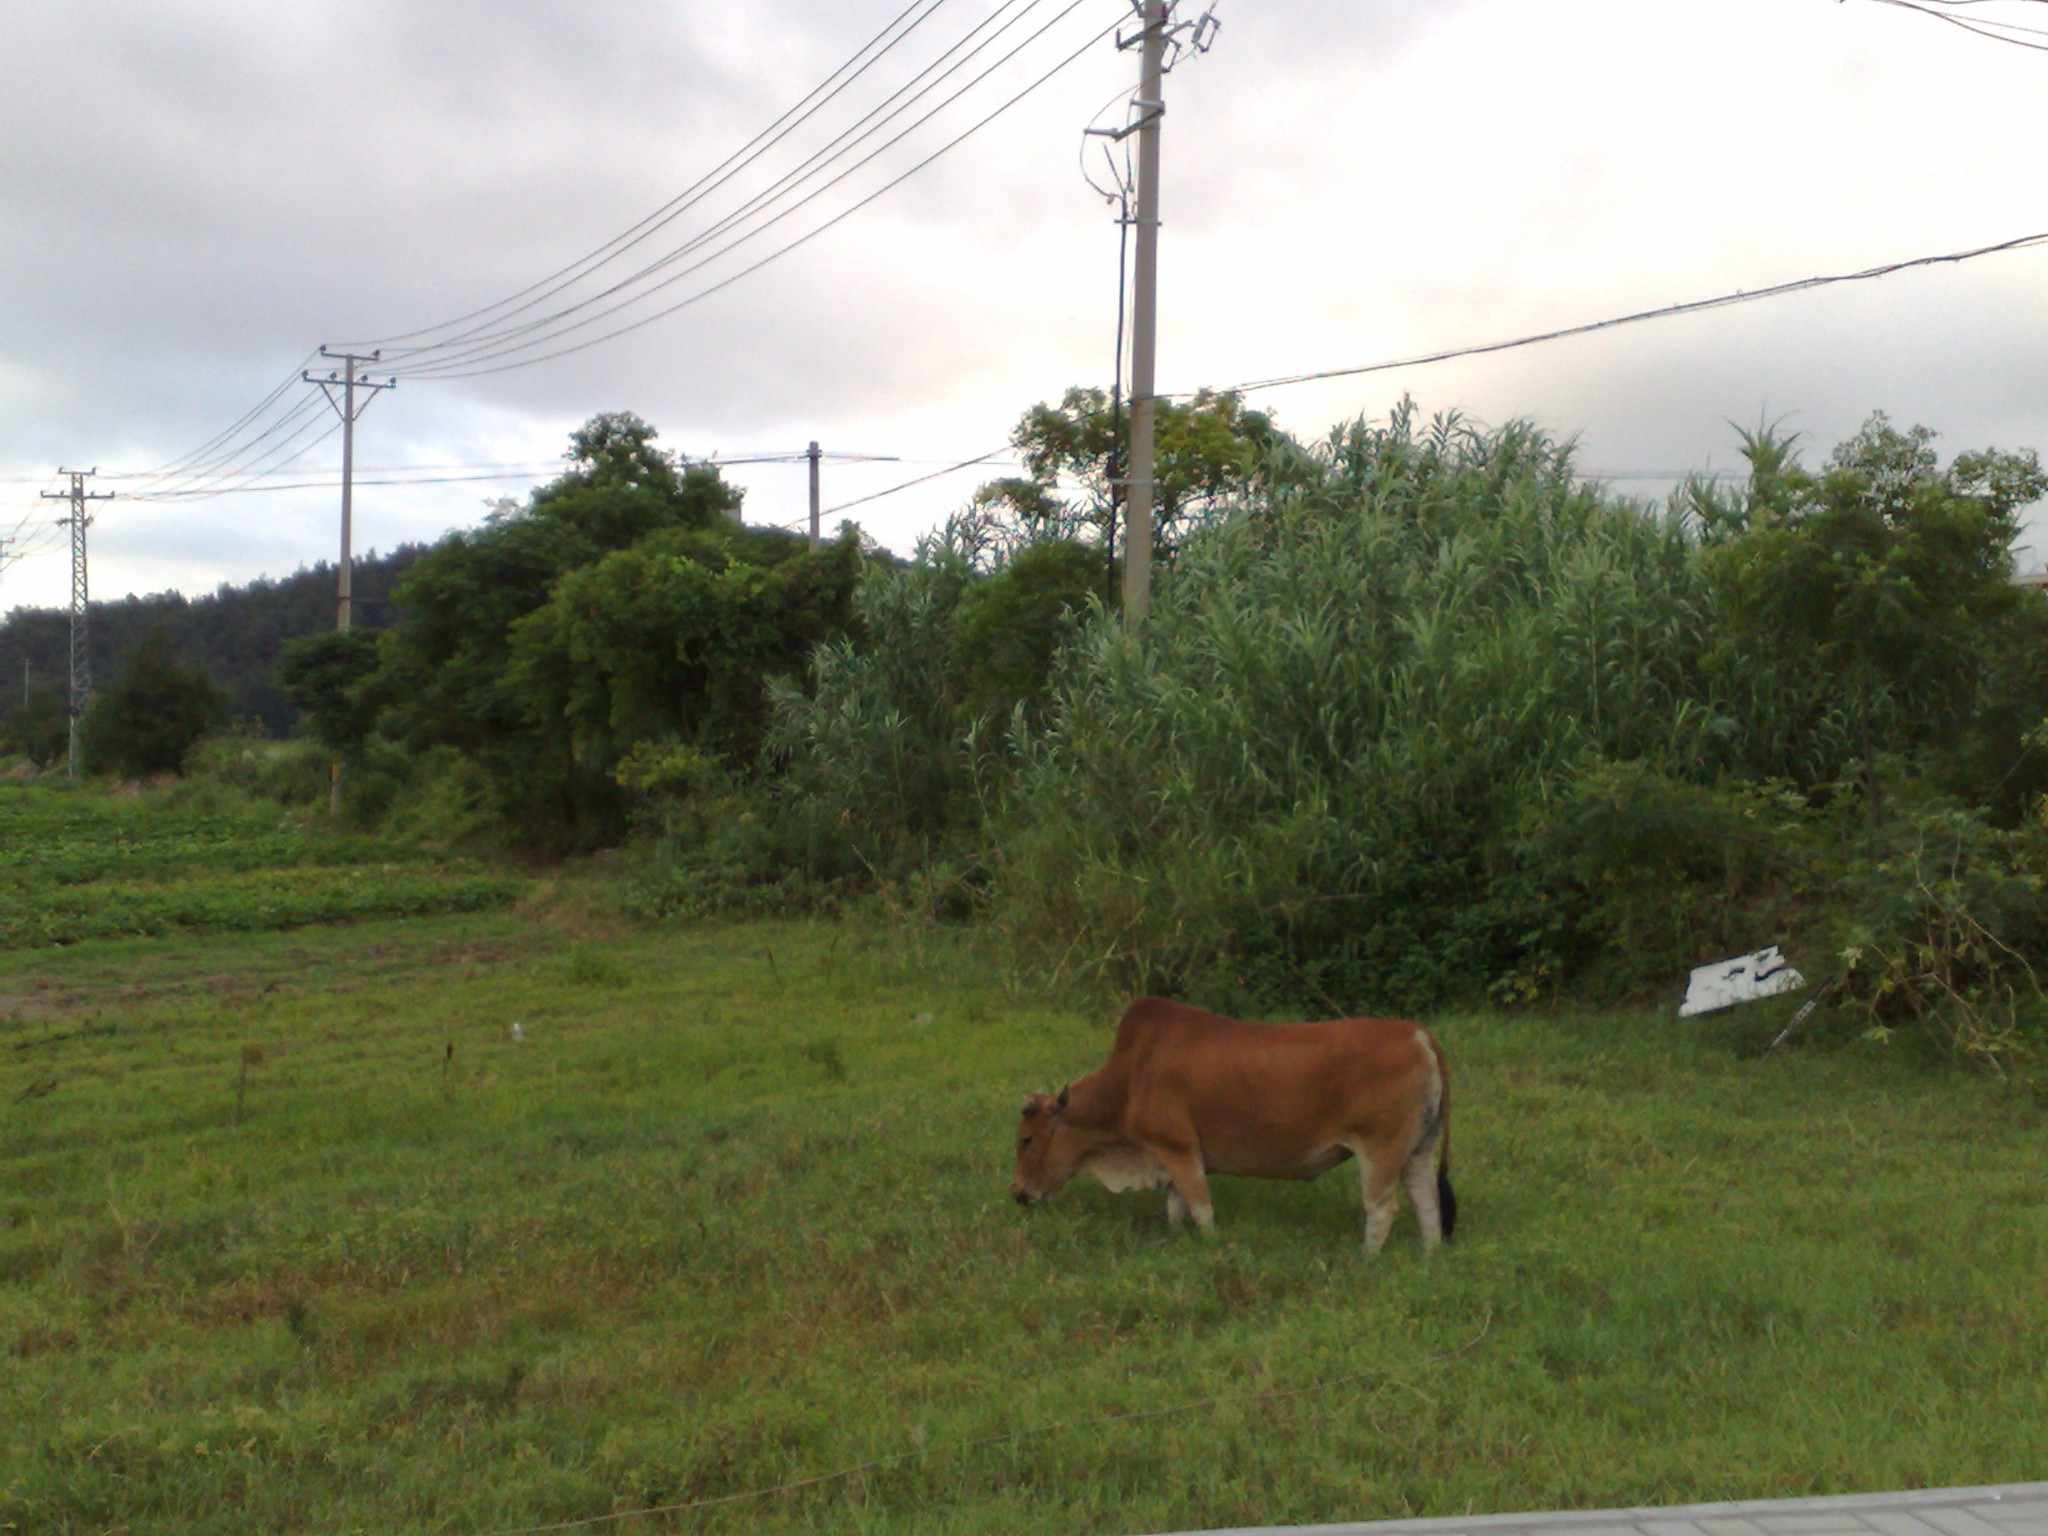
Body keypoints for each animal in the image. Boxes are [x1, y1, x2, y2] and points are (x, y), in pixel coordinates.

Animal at [1007, 999, 1458, 1253]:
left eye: (1027, 1140)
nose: (1018, 1195)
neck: (1130, 1078)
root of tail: (1415, 1032)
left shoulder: (1177, 1147)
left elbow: (1200, 1207)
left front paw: (1210, 1248)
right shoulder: (1175, 1155)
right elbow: (1176, 1206)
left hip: (1380, 1148)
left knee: (1382, 1207)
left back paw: (1366, 1260)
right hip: (1419, 1149)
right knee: (1427, 1203)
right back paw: (1429, 1257)